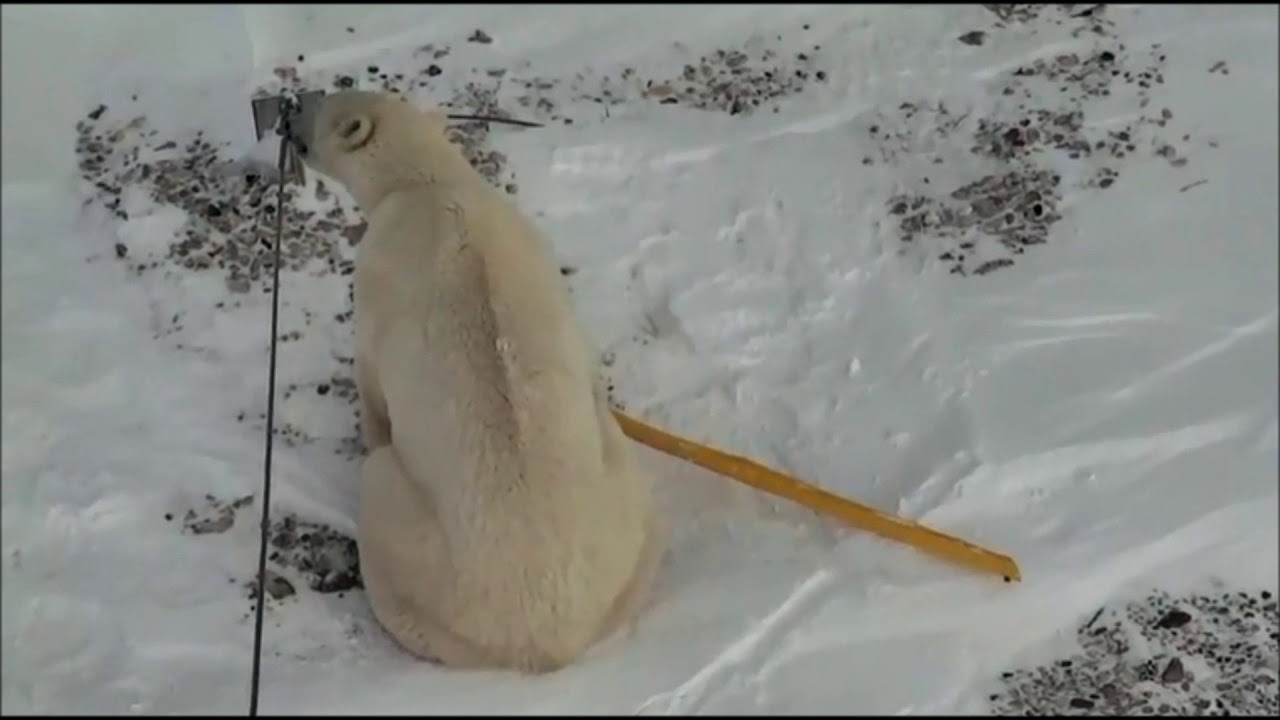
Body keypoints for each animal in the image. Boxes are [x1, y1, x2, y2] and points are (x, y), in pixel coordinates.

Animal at [291, 90, 664, 674]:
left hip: (419, 547)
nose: (288, 112)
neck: (430, 182)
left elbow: (371, 375)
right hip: (621, 502)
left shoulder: (378, 271)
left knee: (382, 491)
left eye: (319, 104)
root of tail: (546, 642)